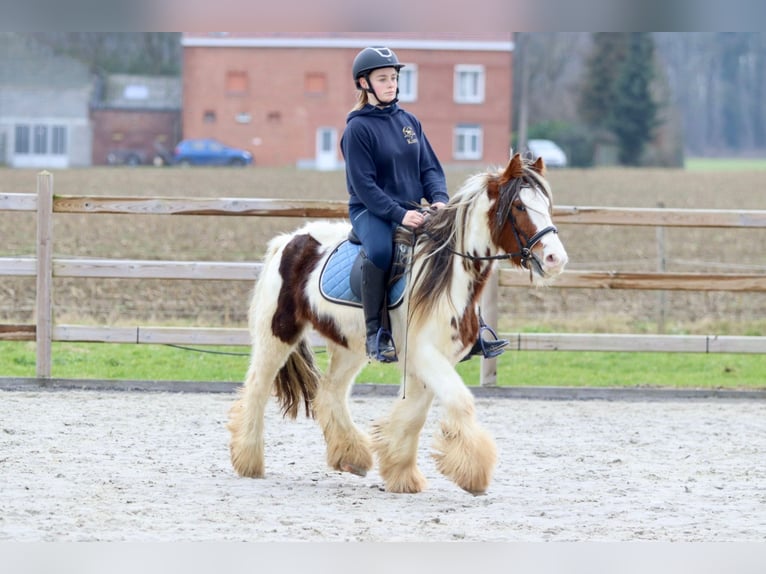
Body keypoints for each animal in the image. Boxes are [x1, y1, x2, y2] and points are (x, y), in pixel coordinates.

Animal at [225, 153, 568, 496]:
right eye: (519, 206)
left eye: (546, 204)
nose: (556, 259)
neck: (447, 276)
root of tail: (288, 242)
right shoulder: (425, 354)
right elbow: (458, 401)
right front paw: (473, 473)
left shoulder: (431, 359)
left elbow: (415, 413)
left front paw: (399, 469)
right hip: (277, 334)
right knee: (257, 388)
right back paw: (249, 460)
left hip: (350, 346)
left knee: (330, 391)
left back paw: (352, 456)